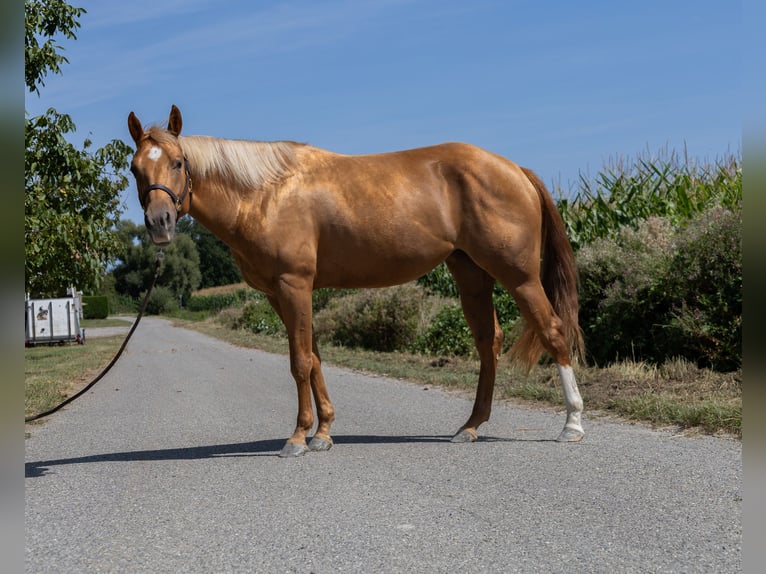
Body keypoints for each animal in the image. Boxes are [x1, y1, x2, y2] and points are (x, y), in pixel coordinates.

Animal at [127, 106, 588, 460]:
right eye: (135, 169)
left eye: (178, 162)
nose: (159, 224)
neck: (265, 194)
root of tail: (515, 169)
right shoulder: (280, 294)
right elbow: (313, 358)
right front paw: (323, 433)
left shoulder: (294, 286)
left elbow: (300, 362)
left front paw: (298, 438)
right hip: (471, 274)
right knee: (488, 342)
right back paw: (471, 427)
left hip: (519, 276)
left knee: (553, 331)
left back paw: (572, 424)